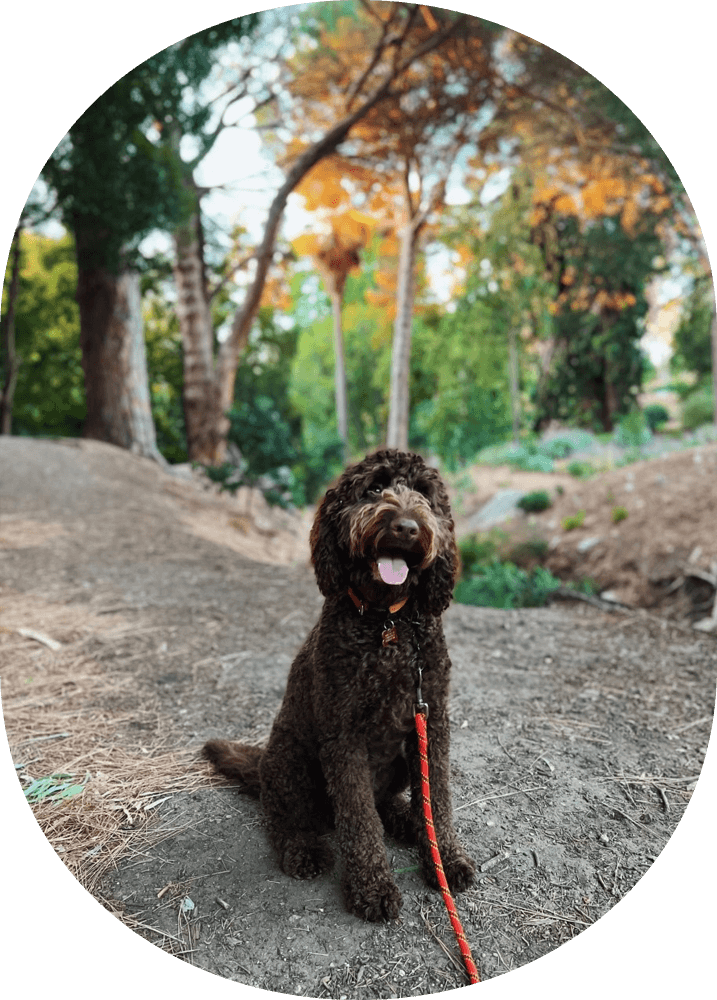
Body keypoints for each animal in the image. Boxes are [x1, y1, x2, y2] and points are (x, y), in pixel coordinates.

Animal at [201, 450, 472, 916]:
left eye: (424, 494)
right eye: (374, 488)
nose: (406, 526)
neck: (388, 624)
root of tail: (261, 763)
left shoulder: (431, 722)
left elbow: (436, 797)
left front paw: (444, 859)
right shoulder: (343, 735)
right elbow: (359, 819)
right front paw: (372, 888)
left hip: (398, 760)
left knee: (386, 801)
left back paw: (405, 819)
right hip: (291, 760)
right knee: (285, 820)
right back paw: (303, 849)